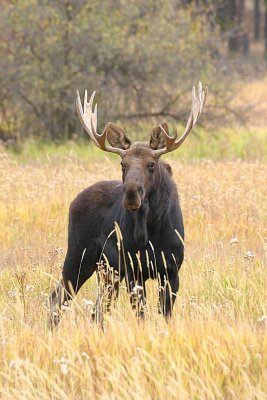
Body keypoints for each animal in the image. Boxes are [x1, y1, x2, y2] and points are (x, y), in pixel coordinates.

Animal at [47, 81, 207, 324]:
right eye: (123, 164)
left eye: (151, 164)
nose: (131, 194)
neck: (151, 231)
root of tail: (75, 201)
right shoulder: (134, 269)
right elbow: (141, 315)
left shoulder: (172, 269)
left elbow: (166, 314)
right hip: (79, 254)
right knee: (56, 299)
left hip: (107, 271)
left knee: (96, 311)